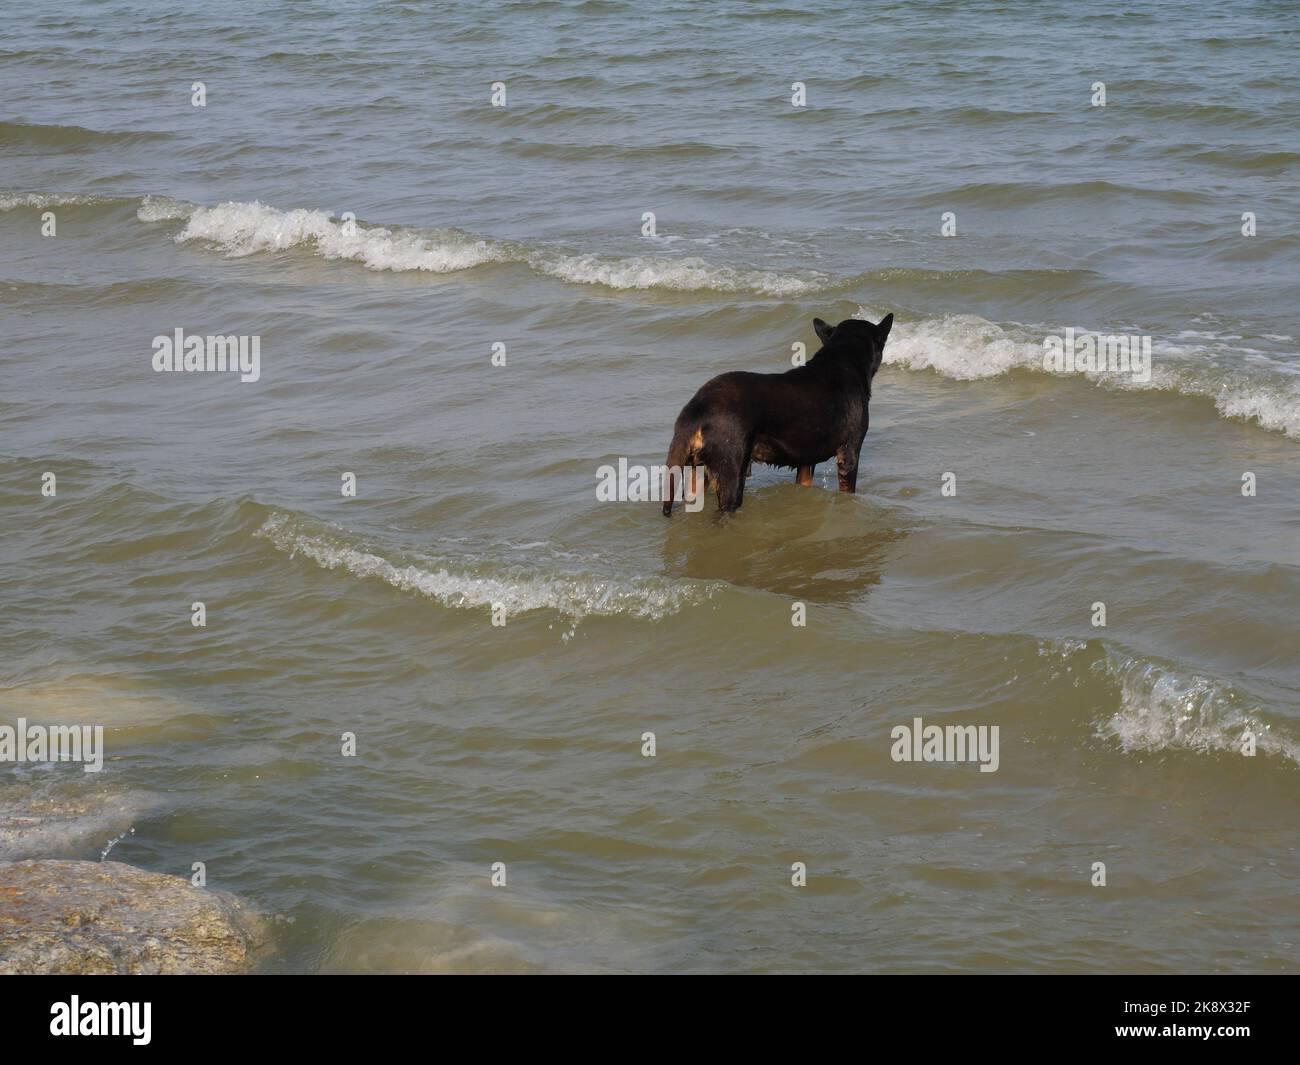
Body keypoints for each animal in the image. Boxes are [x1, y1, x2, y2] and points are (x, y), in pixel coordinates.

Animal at [665, 314, 889, 514]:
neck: (842, 360)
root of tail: (698, 406)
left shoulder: (805, 462)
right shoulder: (849, 454)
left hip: (700, 475)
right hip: (731, 476)